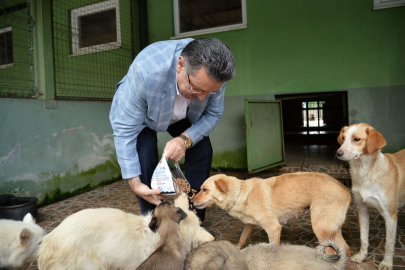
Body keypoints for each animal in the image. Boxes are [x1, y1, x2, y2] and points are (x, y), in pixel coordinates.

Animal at [193, 172, 350, 254]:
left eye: (205, 190)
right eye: (201, 189)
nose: (192, 200)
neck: (241, 193)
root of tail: (345, 189)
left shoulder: (273, 228)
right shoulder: (249, 224)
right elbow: (242, 238)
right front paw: (236, 250)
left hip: (320, 229)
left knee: (332, 251)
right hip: (331, 230)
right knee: (345, 248)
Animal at [334, 123, 404, 270]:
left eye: (356, 139)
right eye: (343, 138)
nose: (338, 153)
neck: (365, 171)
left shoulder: (390, 215)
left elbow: (389, 243)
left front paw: (386, 263)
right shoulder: (362, 210)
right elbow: (363, 238)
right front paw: (361, 257)